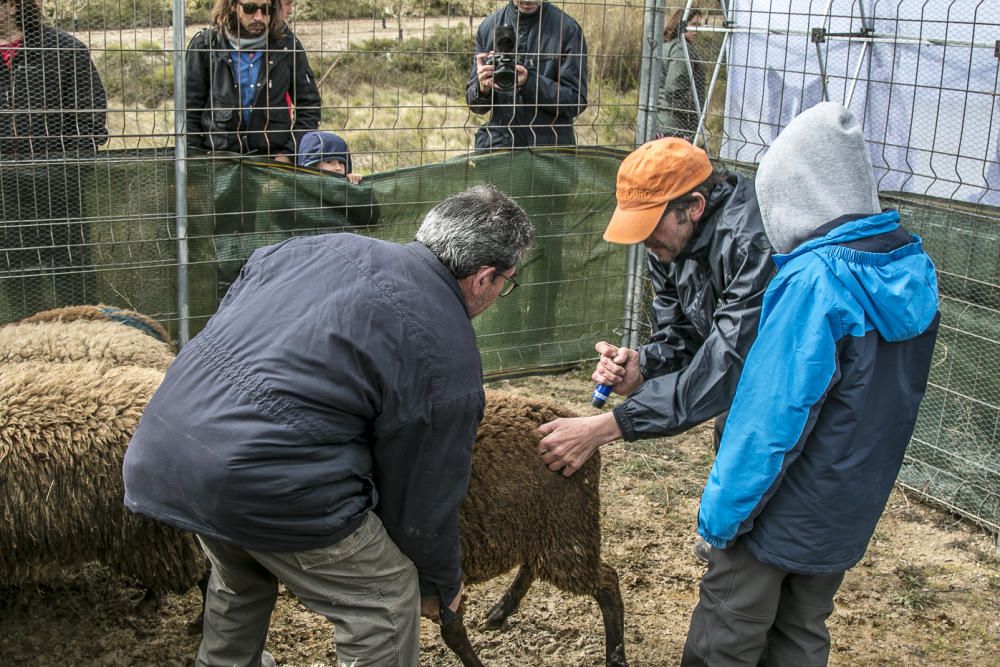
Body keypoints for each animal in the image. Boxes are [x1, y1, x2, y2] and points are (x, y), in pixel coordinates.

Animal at [444, 392, 628, 667]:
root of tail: (567, 416)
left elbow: (453, 633)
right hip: (537, 525)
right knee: (531, 565)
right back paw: (498, 613)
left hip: (567, 527)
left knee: (607, 582)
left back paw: (616, 658)